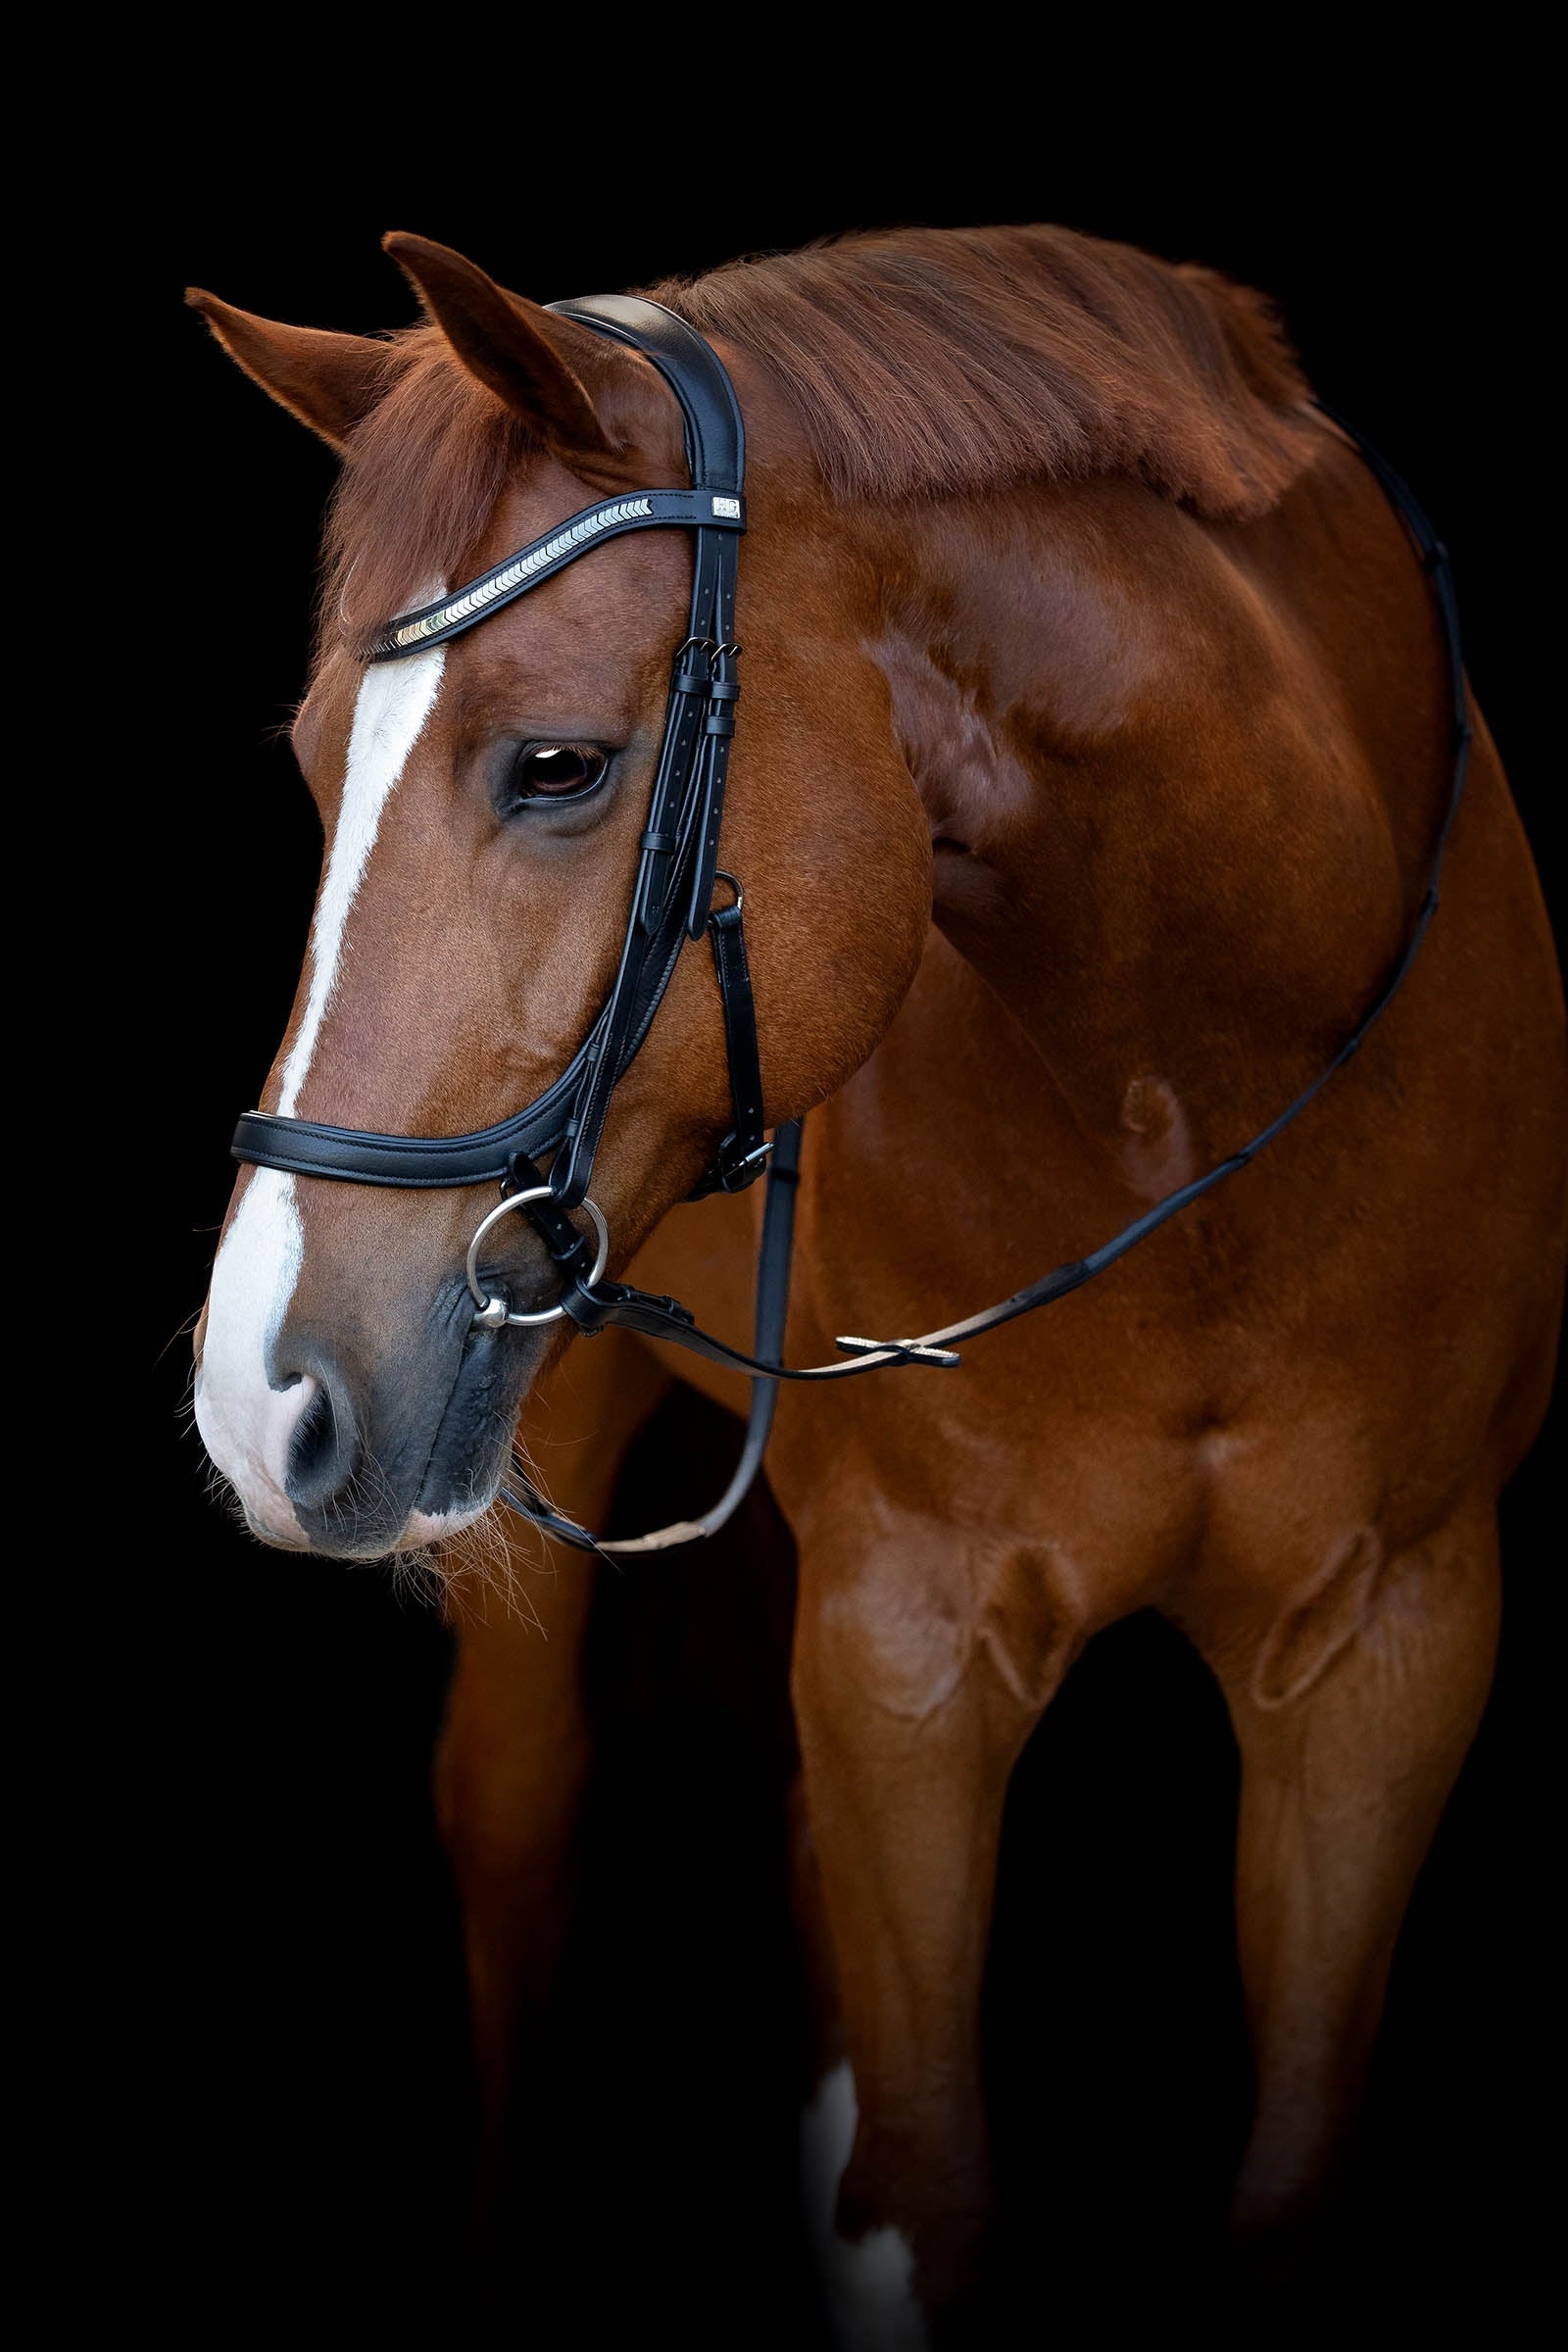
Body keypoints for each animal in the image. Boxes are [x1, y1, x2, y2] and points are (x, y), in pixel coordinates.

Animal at [188, 223, 1565, 2343]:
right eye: (318, 767)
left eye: (558, 765)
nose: (261, 1395)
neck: (1204, 1090)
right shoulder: (908, 1647)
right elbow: (923, 2190)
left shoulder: (1390, 1653)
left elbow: (1278, 2180)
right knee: (518, 1829)